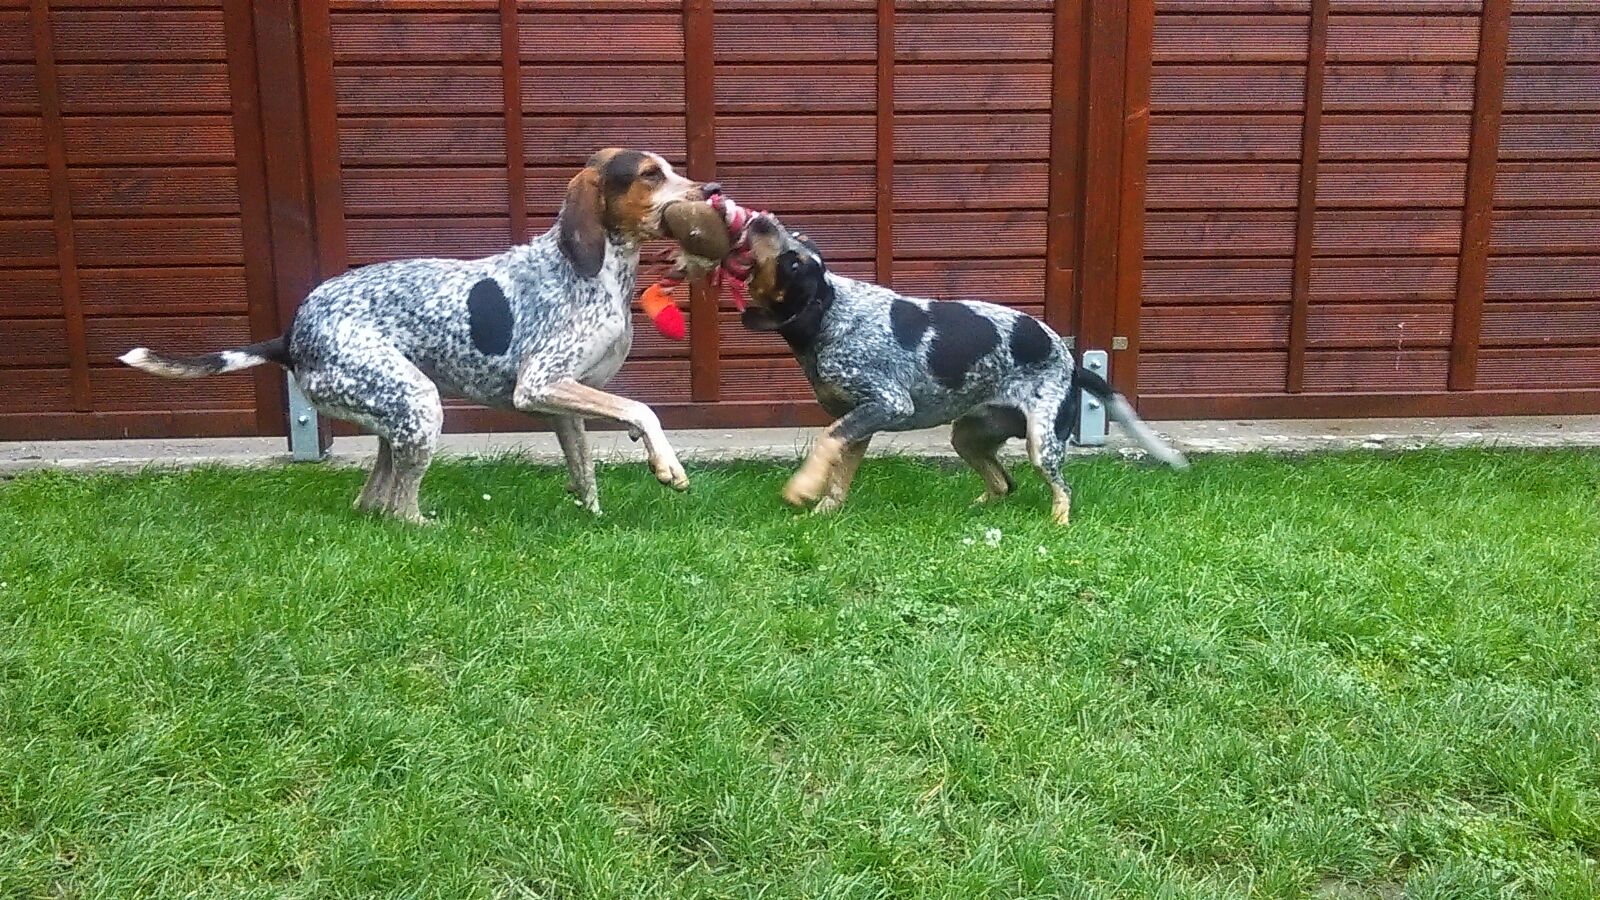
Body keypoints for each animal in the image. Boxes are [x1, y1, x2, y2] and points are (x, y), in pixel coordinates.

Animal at [128, 148, 716, 518]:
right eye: (650, 174)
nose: (711, 188)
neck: (594, 270)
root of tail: (291, 333)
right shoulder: (540, 385)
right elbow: (643, 410)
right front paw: (666, 464)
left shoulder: (563, 402)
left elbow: (585, 469)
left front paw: (593, 516)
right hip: (420, 403)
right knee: (400, 511)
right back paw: (431, 527)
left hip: (396, 418)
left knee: (372, 503)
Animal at [736, 212, 1190, 522]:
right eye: (794, 237)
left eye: (795, 262)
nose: (761, 218)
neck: (833, 314)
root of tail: (1072, 362)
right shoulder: (860, 420)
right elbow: (838, 471)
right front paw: (824, 508)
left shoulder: (889, 403)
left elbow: (825, 441)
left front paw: (800, 488)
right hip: (968, 436)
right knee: (1005, 483)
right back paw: (975, 510)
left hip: (1041, 442)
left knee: (1062, 488)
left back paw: (1057, 523)